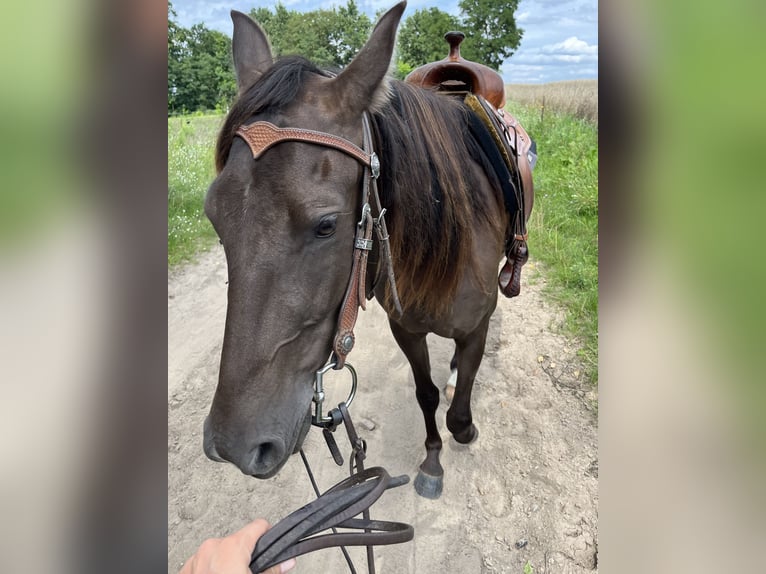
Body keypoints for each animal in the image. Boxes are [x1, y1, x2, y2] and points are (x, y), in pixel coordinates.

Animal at [202, 1, 531, 498]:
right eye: (214, 215)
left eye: (326, 225)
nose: (233, 445)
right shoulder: (406, 330)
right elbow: (425, 394)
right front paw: (432, 460)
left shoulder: (478, 325)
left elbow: (459, 410)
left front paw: (462, 423)